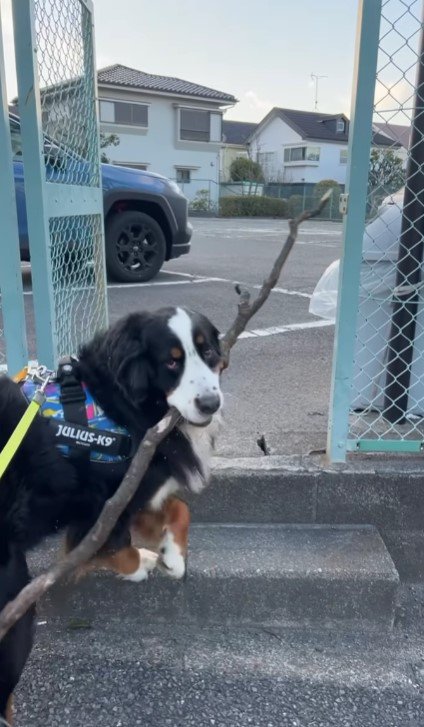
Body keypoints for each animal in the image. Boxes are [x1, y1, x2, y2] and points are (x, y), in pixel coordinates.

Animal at [0, 306, 224, 724]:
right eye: (171, 361)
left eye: (208, 353)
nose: (210, 404)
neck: (118, 405)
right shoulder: (100, 505)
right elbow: (118, 547)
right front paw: (143, 564)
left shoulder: (138, 486)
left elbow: (179, 508)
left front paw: (172, 555)